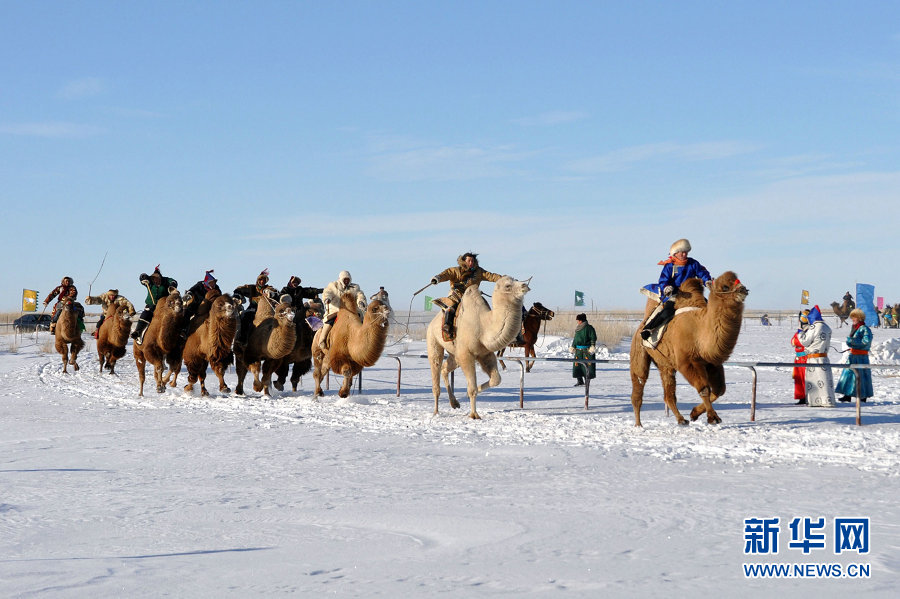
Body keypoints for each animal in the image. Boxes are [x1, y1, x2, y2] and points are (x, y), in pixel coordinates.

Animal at [428, 276, 532, 420]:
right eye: (507, 286)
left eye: (516, 279)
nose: (525, 286)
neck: (484, 327)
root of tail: (432, 322)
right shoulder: (466, 355)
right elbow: (472, 388)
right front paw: (474, 414)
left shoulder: (485, 354)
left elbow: (496, 380)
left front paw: (467, 396)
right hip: (433, 340)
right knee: (436, 367)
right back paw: (436, 411)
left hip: (455, 355)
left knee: (444, 368)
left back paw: (454, 403)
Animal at [628, 272, 748, 426]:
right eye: (725, 286)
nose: (743, 289)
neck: (699, 331)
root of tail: (642, 324)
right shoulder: (687, 362)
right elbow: (704, 389)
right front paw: (712, 417)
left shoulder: (712, 363)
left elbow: (719, 390)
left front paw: (694, 413)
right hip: (639, 351)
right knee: (639, 383)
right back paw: (639, 424)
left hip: (665, 364)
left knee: (668, 393)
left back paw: (681, 419)